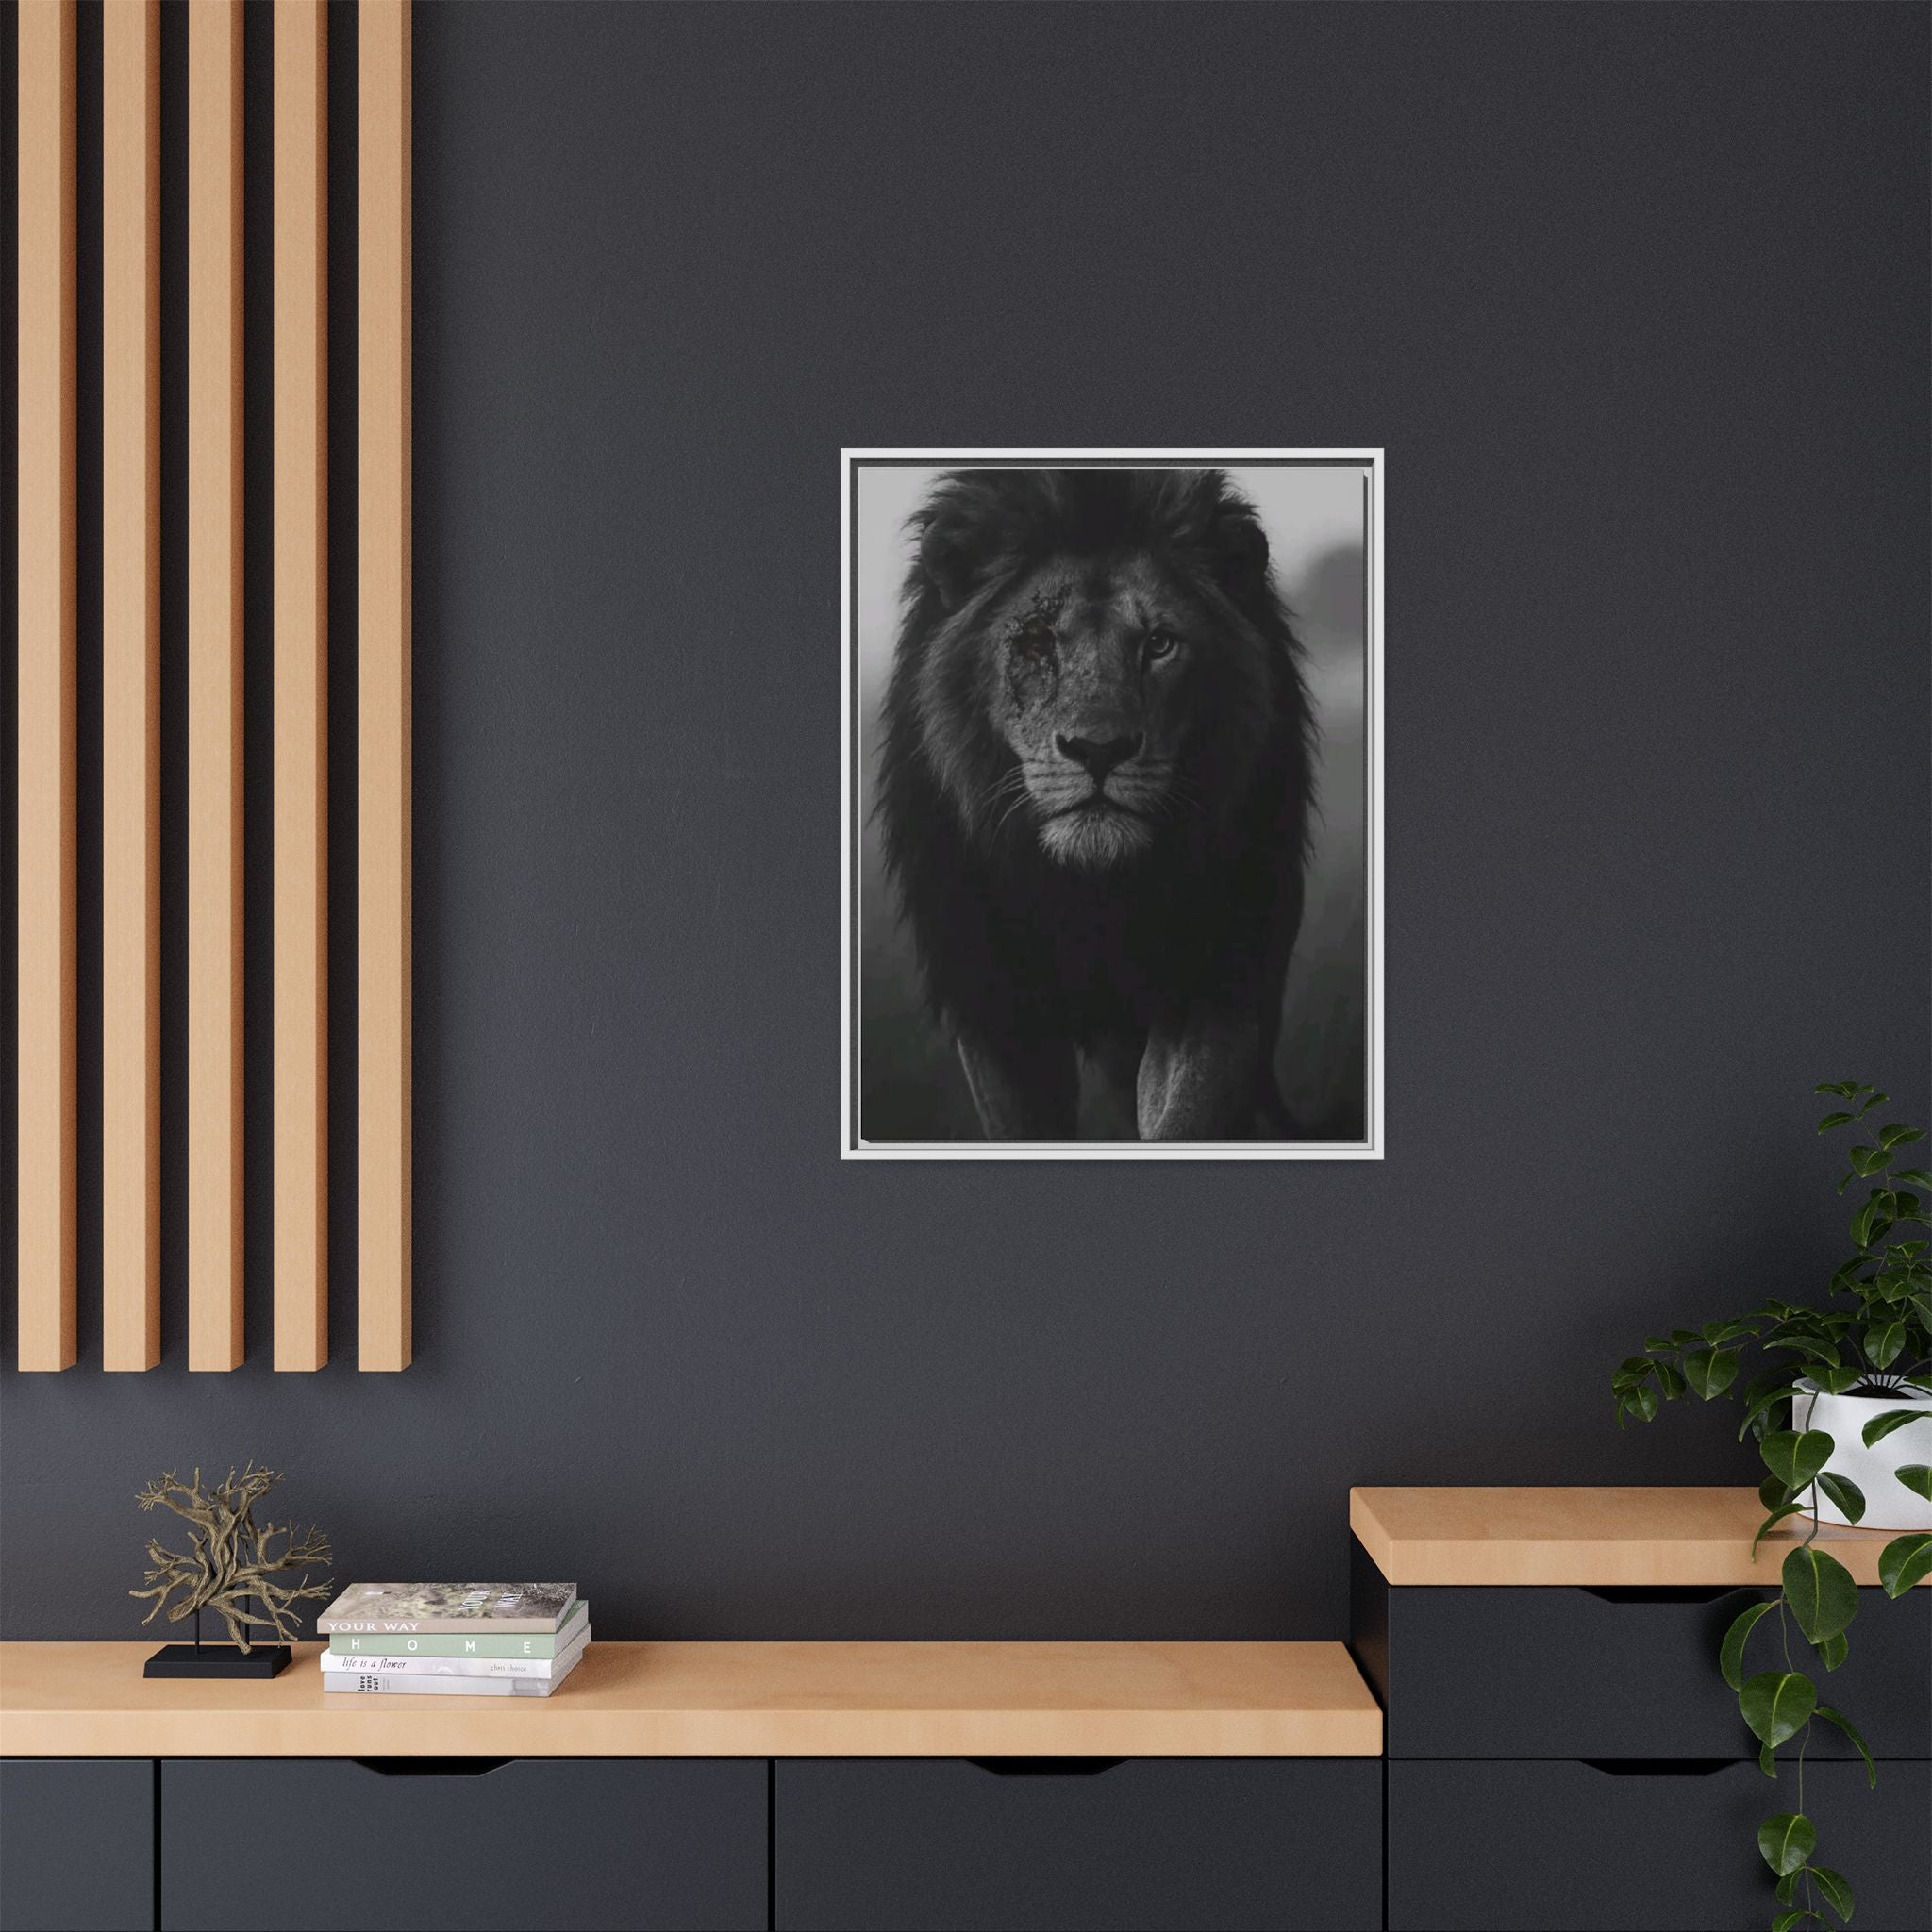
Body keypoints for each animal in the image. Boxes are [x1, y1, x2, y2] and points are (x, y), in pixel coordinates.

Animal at [875, 467, 1314, 1141]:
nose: (1099, 749)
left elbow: (1187, 1115)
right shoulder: (994, 1006)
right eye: (1036, 642)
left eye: (1159, 644)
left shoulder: (1216, 980)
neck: (1092, 896)